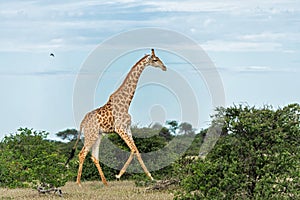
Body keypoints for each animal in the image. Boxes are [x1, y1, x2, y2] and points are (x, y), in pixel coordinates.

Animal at [66, 48, 168, 186]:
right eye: (155, 60)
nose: (164, 67)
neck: (126, 103)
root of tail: (82, 122)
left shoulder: (127, 128)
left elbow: (137, 151)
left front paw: (151, 177)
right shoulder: (119, 129)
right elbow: (133, 150)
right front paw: (118, 175)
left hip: (98, 135)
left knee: (94, 156)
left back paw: (105, 183)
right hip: (91, 134)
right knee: (82, 154)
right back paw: (79, 184)